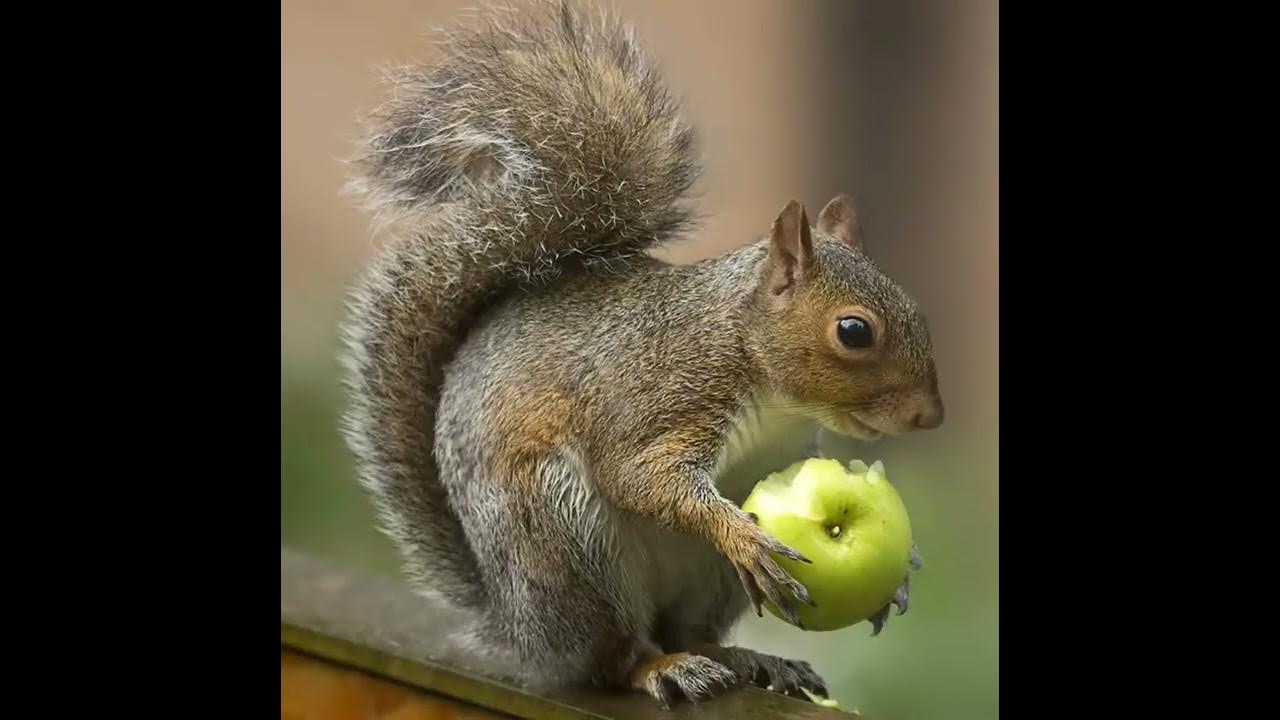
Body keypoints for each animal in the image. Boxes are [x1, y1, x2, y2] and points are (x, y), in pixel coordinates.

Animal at [340, 0, 943, 709]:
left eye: (917, 310)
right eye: (854, 331)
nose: (929, 416)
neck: (749, 359)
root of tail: (520, 632)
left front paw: (902, 574)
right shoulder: (661, 394)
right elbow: (640, 477)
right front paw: (742, 535)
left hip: (704, 580)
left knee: (691, 630)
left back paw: (751, 659)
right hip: (564, 540)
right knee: (614, 657)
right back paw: (662, 667)